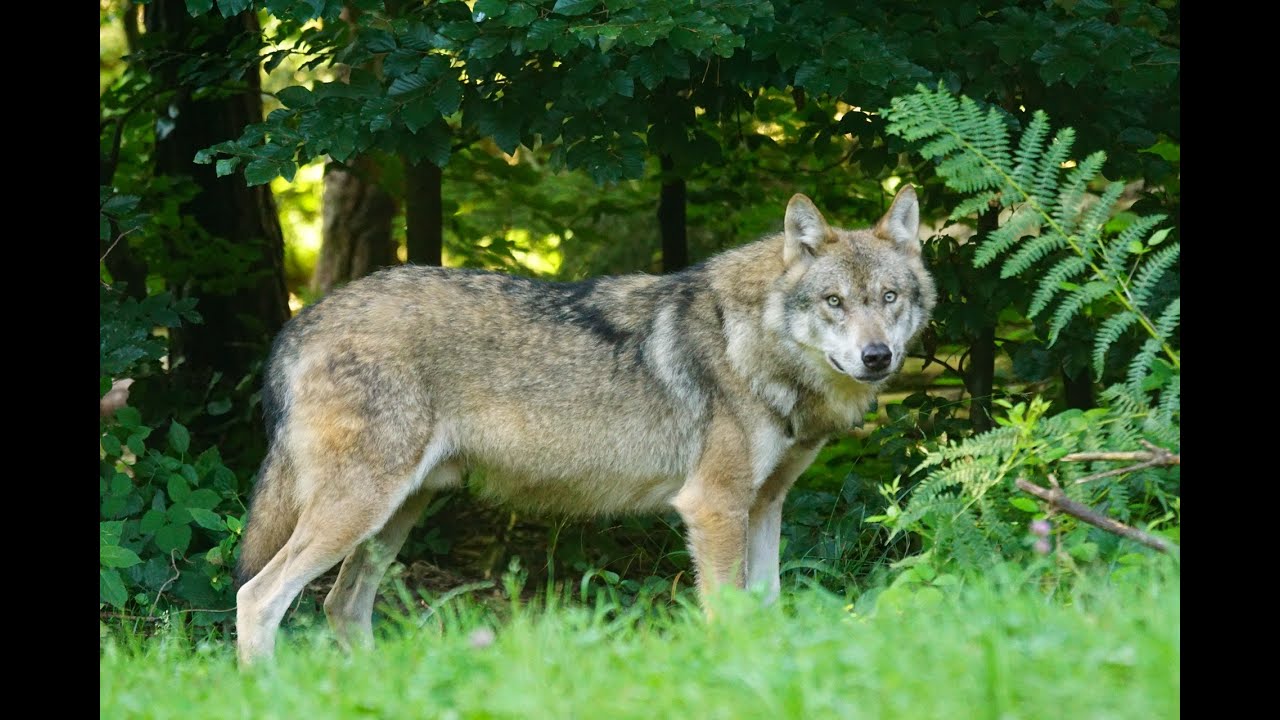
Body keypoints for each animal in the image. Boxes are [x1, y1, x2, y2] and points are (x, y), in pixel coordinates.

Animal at [234, 185, 935, 663]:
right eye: (834, 302)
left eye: (889, 299)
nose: (877, 357)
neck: (751, 343)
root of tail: (300, 322)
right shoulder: (714, 507)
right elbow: (728, 616)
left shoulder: (764, 506)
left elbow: (767, 609)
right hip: (359, 510)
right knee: (258, 597)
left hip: (394, 517)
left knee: (341, 605)